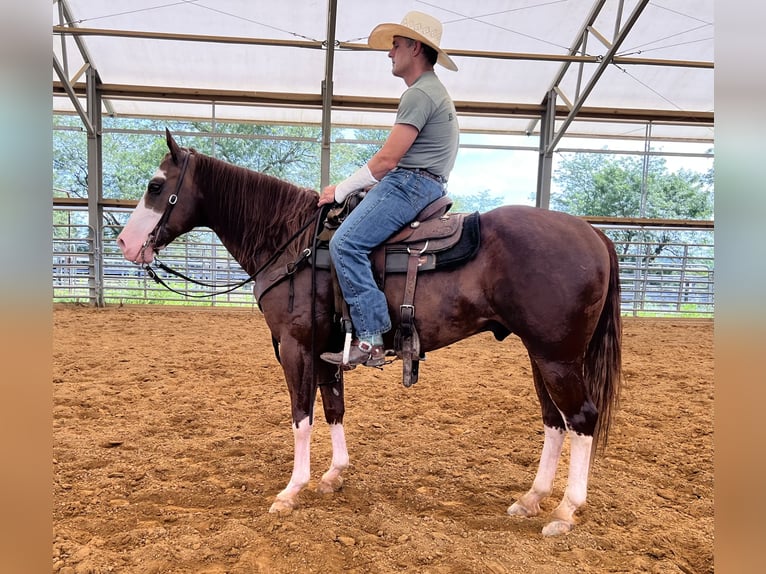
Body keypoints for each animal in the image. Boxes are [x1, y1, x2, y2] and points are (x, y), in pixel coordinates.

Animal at [117, 129, 622, 536]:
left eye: (156, 186)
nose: (125, 243)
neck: (294, 244)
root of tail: (596, 235)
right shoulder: (326, 350)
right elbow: (334, 408)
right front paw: (334, 474)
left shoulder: (297, 347)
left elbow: (302, 415)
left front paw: (291, 490)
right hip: (541, 355)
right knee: (554, 421)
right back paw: (531, 499)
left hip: (557, 357)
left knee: (582, 419)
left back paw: (565, 511)